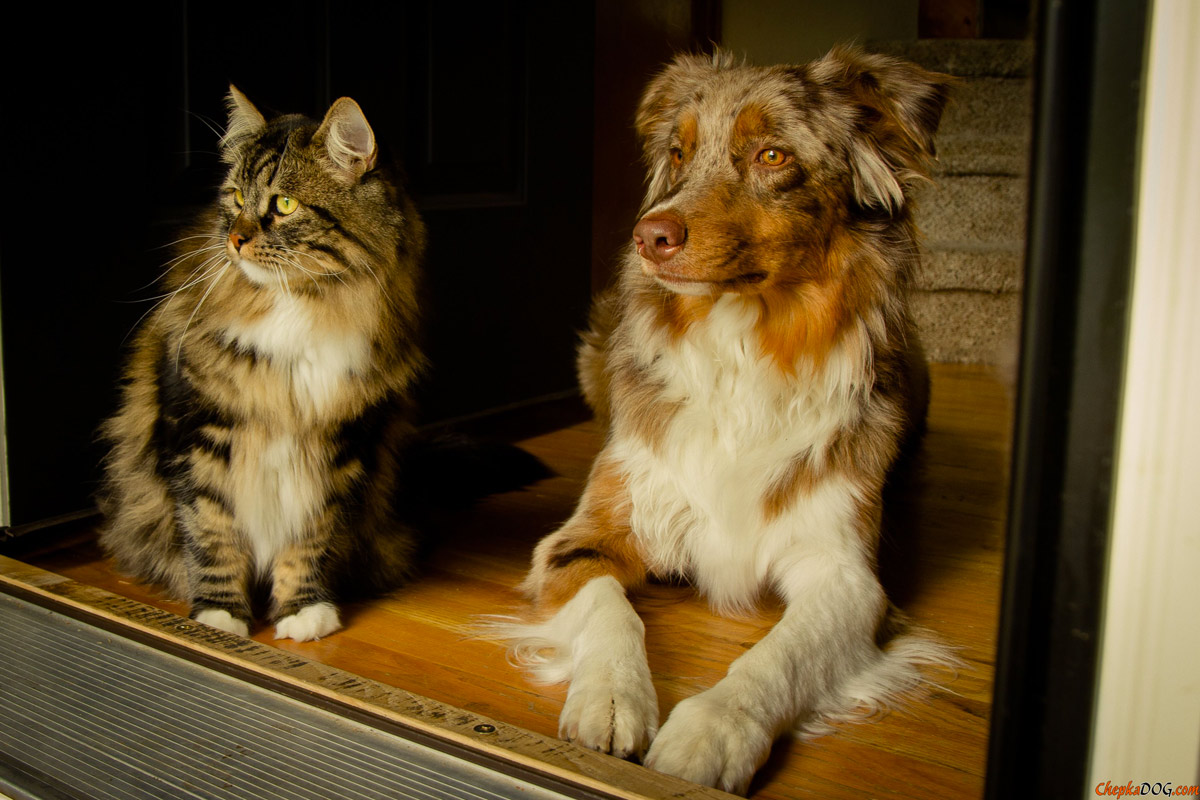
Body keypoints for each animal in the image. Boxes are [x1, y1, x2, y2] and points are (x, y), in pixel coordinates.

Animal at [98, 87, 429, 642]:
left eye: (284, 204)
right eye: (234, 197)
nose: (234, 239)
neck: (296, 305)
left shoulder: (337, 447)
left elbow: (309, 538)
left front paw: (303, 611)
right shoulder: (199, 435)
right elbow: (211, 533)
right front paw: (219, 617)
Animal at [501, 48, 950, 796]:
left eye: (772, 154)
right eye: (678, 153)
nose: (648, 236)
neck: (744, 346)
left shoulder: (846, 573)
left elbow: (782, 653)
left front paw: (712, 729)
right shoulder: (583, 537)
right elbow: (610, 611)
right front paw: (611, 698)